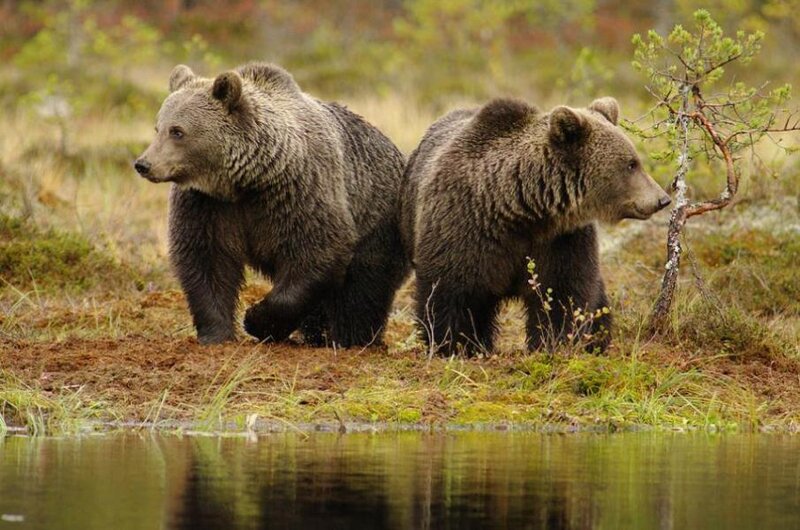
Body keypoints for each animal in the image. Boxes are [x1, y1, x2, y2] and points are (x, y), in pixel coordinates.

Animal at [134, 62, 409, 347]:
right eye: (157, 128)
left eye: (177, 131)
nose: (143, 164)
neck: (246, 182)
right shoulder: (207, 205)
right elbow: (206, 259)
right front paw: (216, 333)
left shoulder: (300, 193)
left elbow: (318, 252)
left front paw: (257, 320)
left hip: (378, 220)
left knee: (363, 290)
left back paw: (352, 339)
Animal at [400, 97, 671, 356]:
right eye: (631, 164)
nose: (662, 199)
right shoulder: (466, 227)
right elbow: (453, 291)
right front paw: (457, 345)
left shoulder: (561, 239)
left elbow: (563, 292)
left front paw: (553, 342)